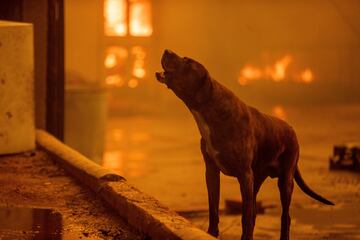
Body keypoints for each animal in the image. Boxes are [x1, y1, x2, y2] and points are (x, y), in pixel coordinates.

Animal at [155, 49, 332, 239]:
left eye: (187, 61)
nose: (167, 50)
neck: (210, 110)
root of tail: (291, 129)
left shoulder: (244, 175)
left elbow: (245, 216)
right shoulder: (212, 171)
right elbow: (214, 208)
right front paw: (212, 233)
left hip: (285, 180)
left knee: (285, 216)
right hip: (257, 178)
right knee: (254, 209)